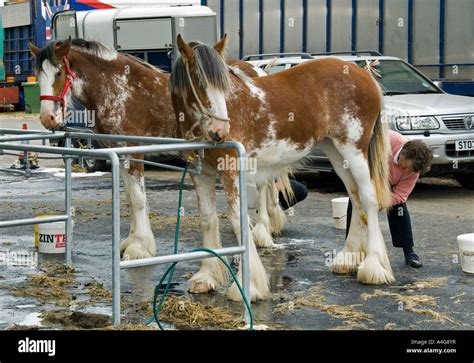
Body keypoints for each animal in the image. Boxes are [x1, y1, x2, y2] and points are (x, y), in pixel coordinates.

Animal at [168, 34, 394, 302]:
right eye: (198, 79)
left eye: (223, 84)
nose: (220, 131)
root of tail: (363, 74)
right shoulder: (201, 173)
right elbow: (207, 219)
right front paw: (206, 278)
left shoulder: (231, 171)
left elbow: (238, 220)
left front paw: (248, 286)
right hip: (337, 154)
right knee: (356, 199)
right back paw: (347, 259)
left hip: (354, 151)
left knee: (369, 200)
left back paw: (374, 267)